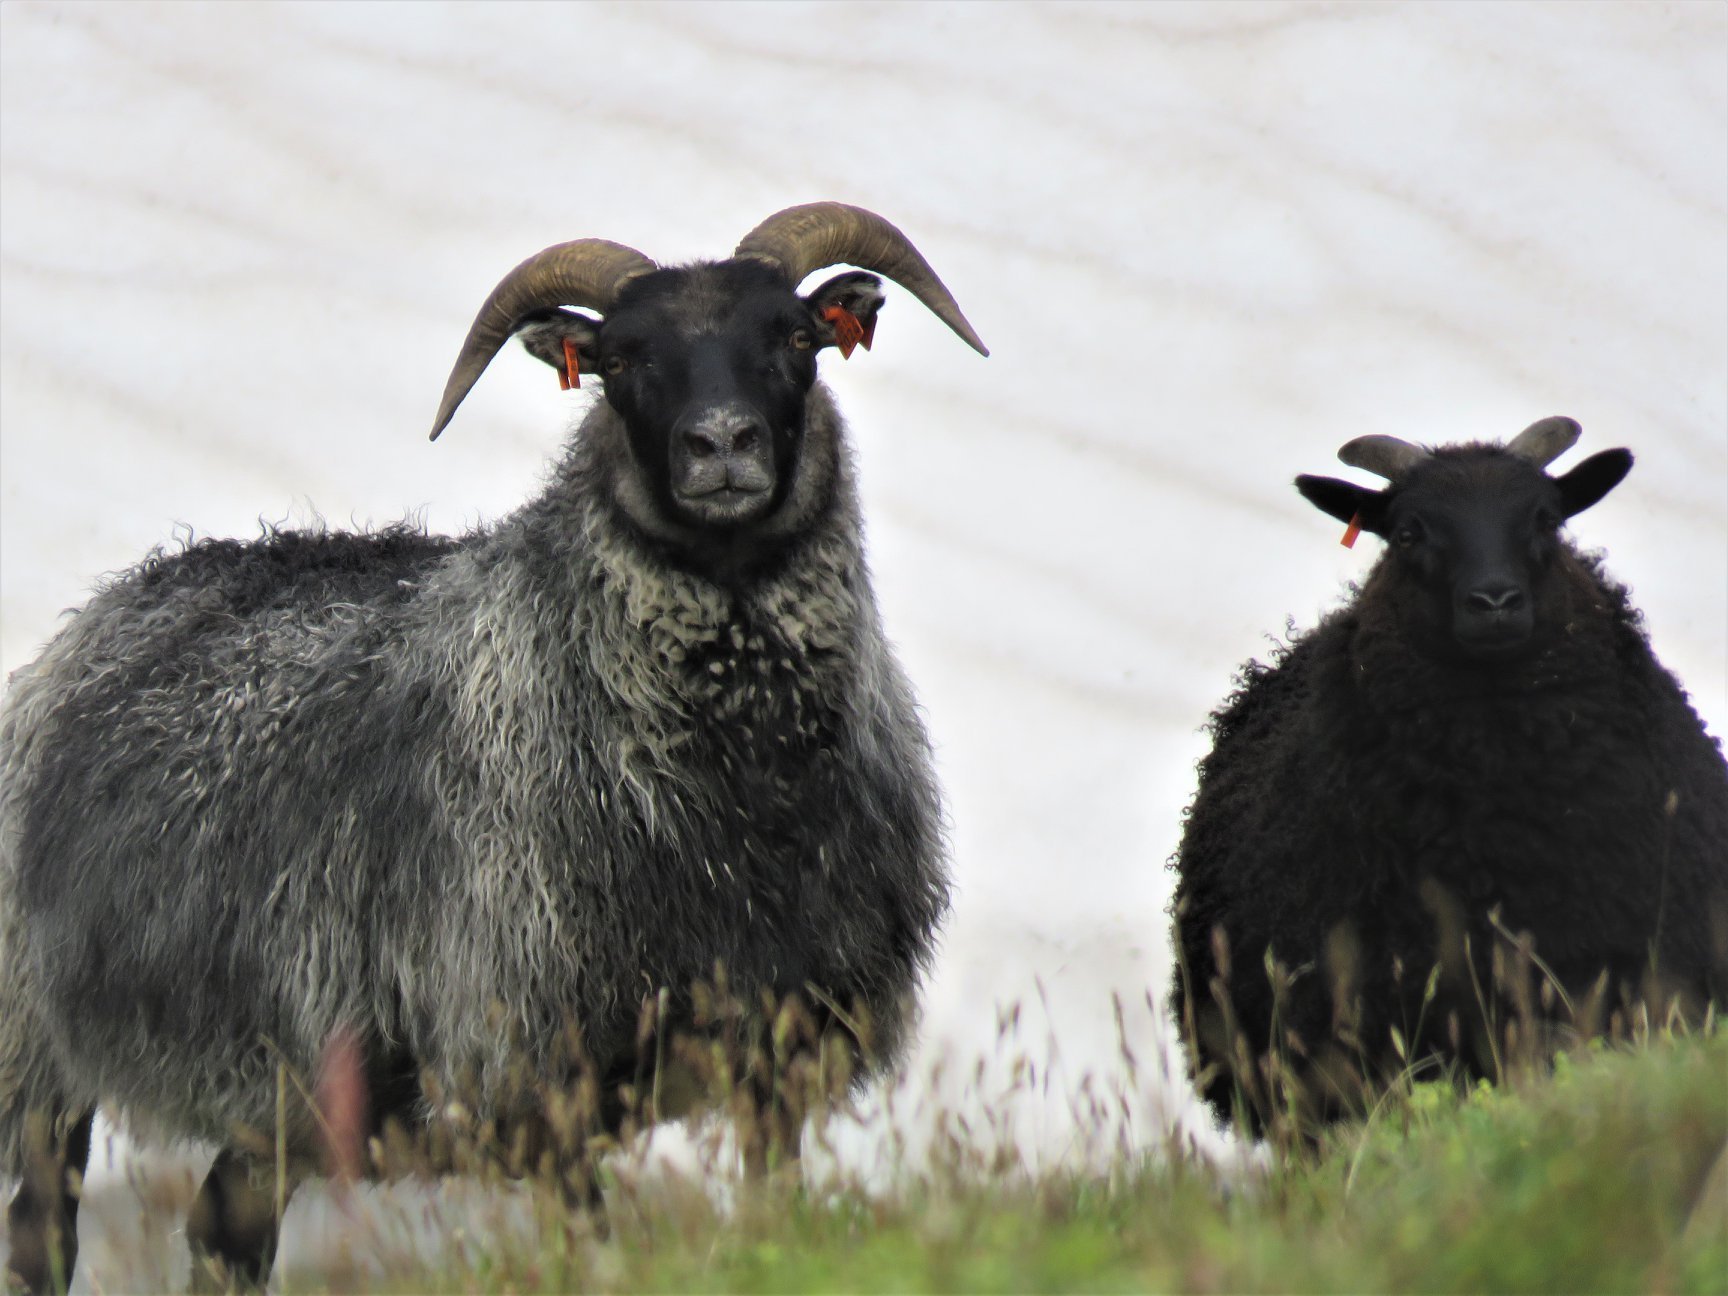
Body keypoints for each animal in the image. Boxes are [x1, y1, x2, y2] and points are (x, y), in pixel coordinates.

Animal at [0, 200, 988, 1292]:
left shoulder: (783, 1042)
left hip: (290, 1093)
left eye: (798, 337)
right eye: (620, 358)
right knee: (44, 1226)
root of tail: (101, 611)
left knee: (227, 1227)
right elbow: (590, 1243)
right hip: (39, 1046)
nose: (721, 444)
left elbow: (773, 1206)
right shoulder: (537, 1071)